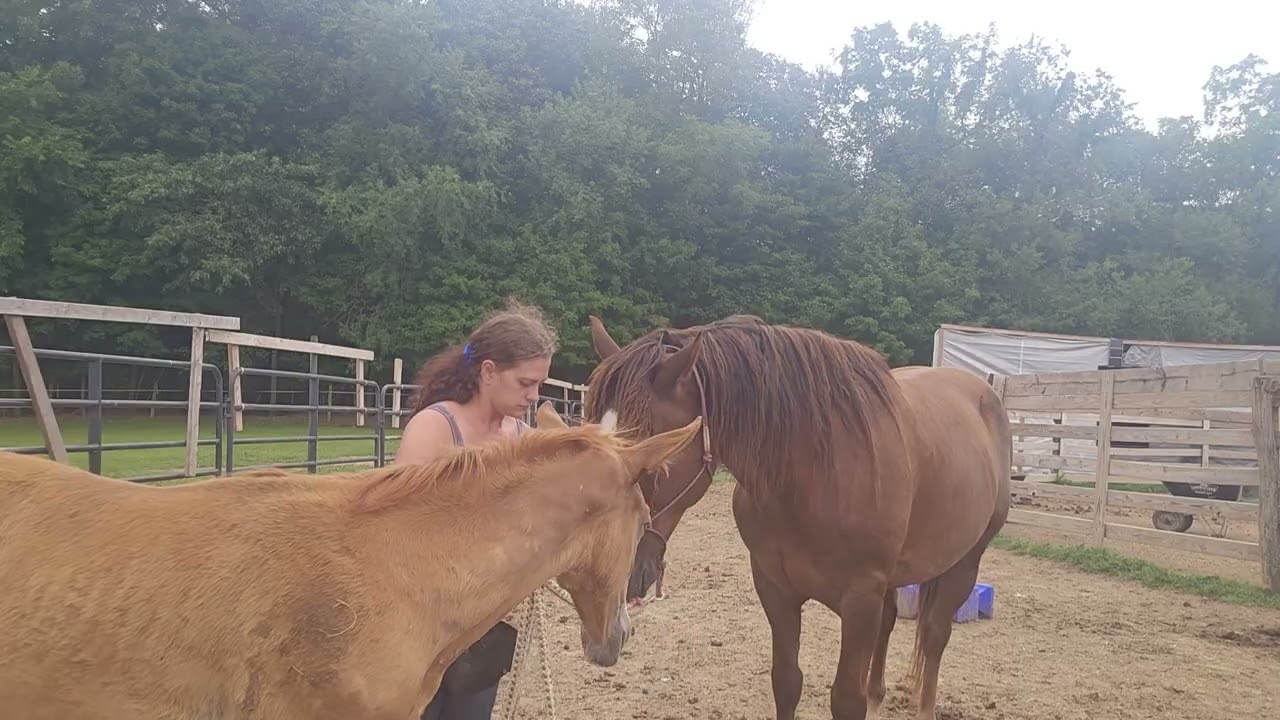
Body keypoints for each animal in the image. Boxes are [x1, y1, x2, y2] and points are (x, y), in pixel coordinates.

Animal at [584, 315, 1011, 720]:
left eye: (653, 456)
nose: (611, 575)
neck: (815, 475)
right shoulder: (776, 588)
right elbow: (787, 682)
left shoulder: (860, 601)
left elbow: (846, 700)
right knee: (890, 627)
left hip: (964, 564)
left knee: (935, 636)